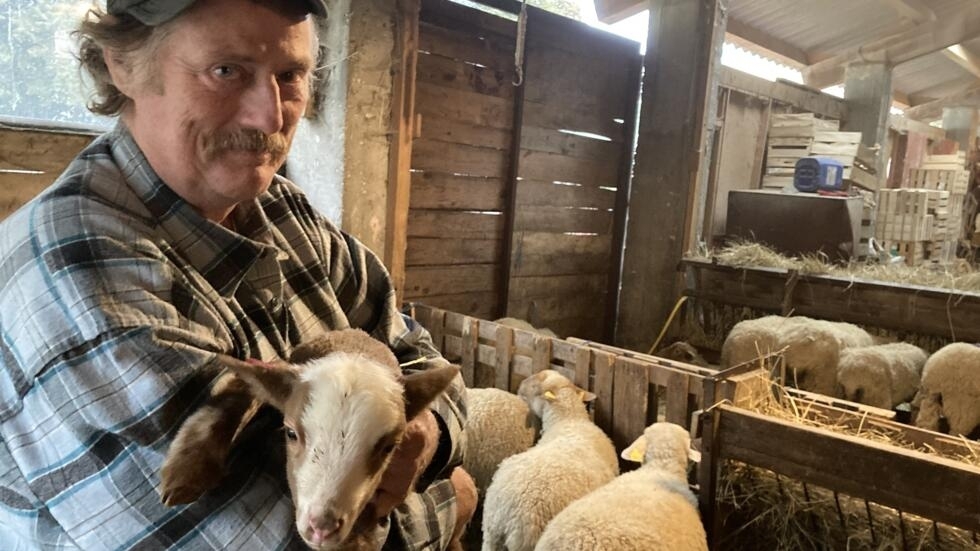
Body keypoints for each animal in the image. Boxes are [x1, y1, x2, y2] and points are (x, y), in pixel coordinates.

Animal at [161, 330, 464, 551]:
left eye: (390, 447)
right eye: (291, 433)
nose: (321, 527)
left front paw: (356, 541)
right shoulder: (284, 370)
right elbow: (243, 386)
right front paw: (186, 472)